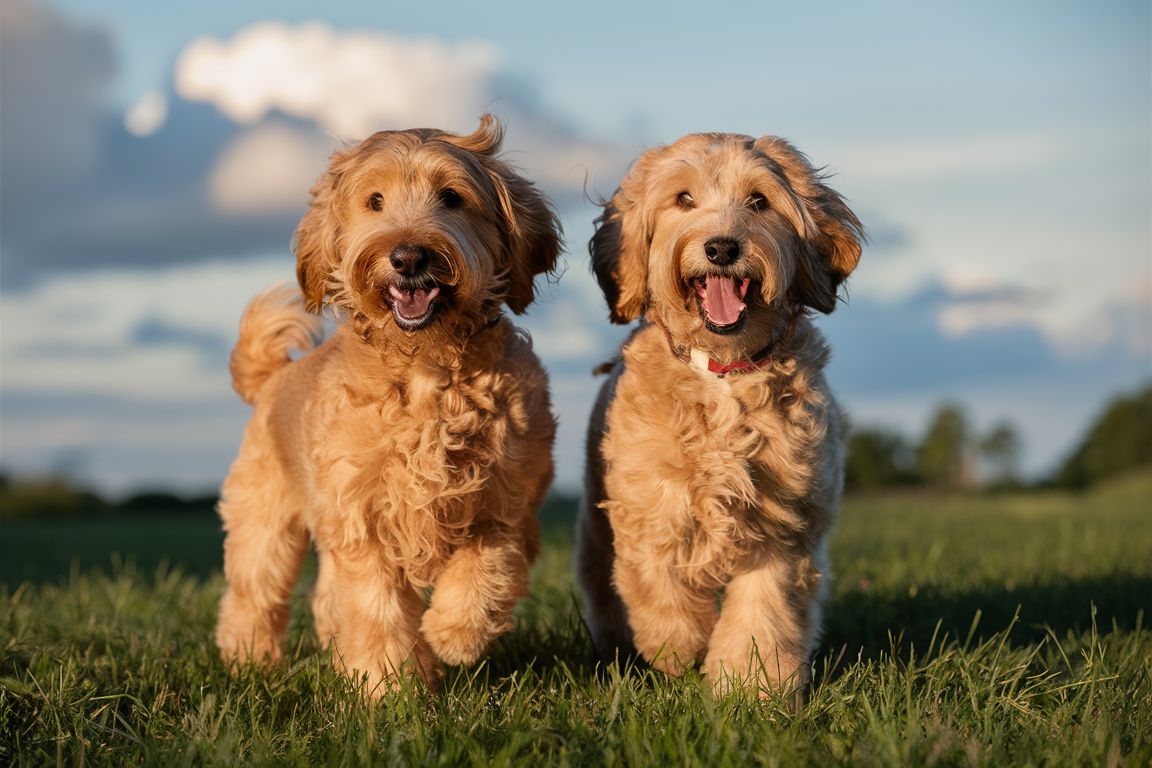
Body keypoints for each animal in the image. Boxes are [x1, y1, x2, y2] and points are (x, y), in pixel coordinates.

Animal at [216, 115, 562, 695]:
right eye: (375, 201)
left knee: (322, 597)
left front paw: (451, 636)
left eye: (451, 197)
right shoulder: (364, 517)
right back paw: (249, 662)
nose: (408, 256)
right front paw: (388, 687)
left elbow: (486, 571)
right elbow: (376, 607)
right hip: (265, 519)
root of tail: (272, 378)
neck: (426, 370)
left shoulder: (507, 503)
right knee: (255, 593)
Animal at [580, 130, 861, 695]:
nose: (722, 247)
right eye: (684, 199)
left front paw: (753, 684)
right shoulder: (652, 506)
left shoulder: (784, 525)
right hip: (597, 523)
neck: (724, 372)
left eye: (759, 201)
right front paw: (676, 650)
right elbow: (659, 586)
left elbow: (765, 611)